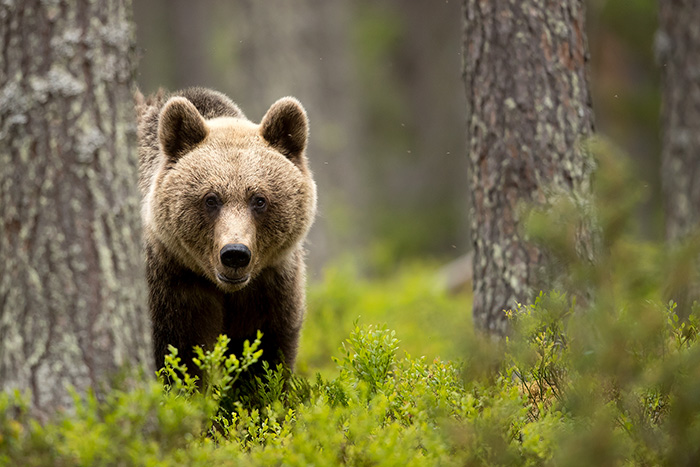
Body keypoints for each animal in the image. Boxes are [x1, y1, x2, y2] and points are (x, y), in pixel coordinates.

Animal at [136, 87, 317, 379]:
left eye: (259, 200)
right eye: (211, 199)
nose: (234, 254)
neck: (223, 289)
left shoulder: (269, 290)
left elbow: (264, 359)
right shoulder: (170, 283)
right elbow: (176, 357)